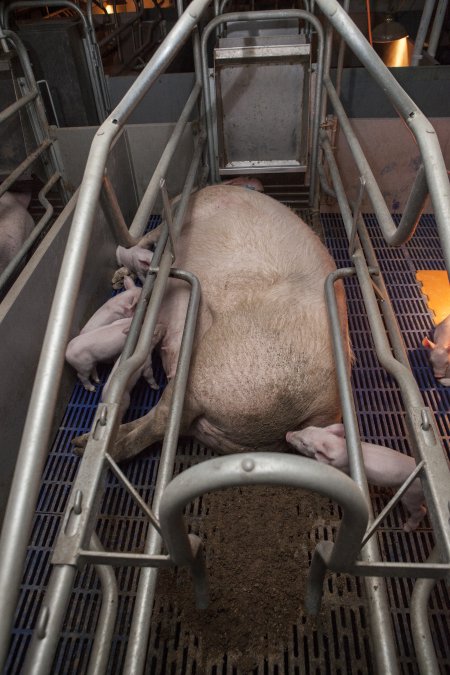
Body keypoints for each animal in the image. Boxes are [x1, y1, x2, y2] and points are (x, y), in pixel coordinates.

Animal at [286, 428, 428, 532]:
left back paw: (406, 528)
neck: (337, 445)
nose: (288, 434)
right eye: (306, 428)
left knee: (421, 511)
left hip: (411, 495)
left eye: (304, 443)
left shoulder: (342, 468)